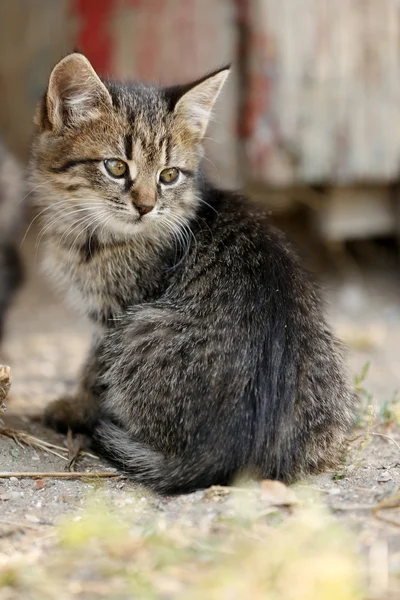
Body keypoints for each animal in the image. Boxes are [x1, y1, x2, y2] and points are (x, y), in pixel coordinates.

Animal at [32, 51, 356, 492]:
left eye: (169, 176)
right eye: (115, 167)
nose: (146, 206)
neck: (90, 232)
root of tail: (233, 454)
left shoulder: (115, 315)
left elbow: (93, 368)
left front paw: (76, 406)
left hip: (140, 327)